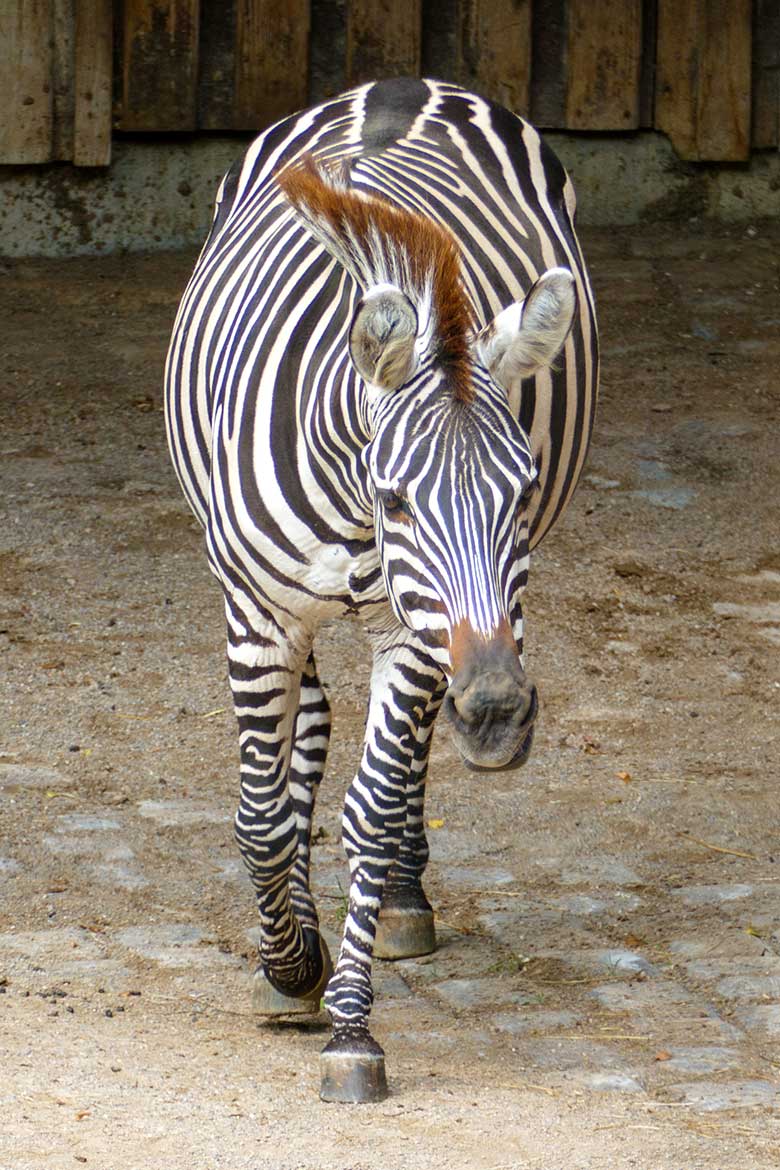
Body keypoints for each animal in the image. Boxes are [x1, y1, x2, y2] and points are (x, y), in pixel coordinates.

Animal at [164, 77, 598, 1099]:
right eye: (398, 496)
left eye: (521, 489)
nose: (499, 715)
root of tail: (411, 83)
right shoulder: (257, 616)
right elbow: (258, 814)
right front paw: (291, 970)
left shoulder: (415, 634)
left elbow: (369, 807)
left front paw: (352, 1028)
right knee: (313, 726)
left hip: (433, 631)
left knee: (398, 763)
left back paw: (403, 895)